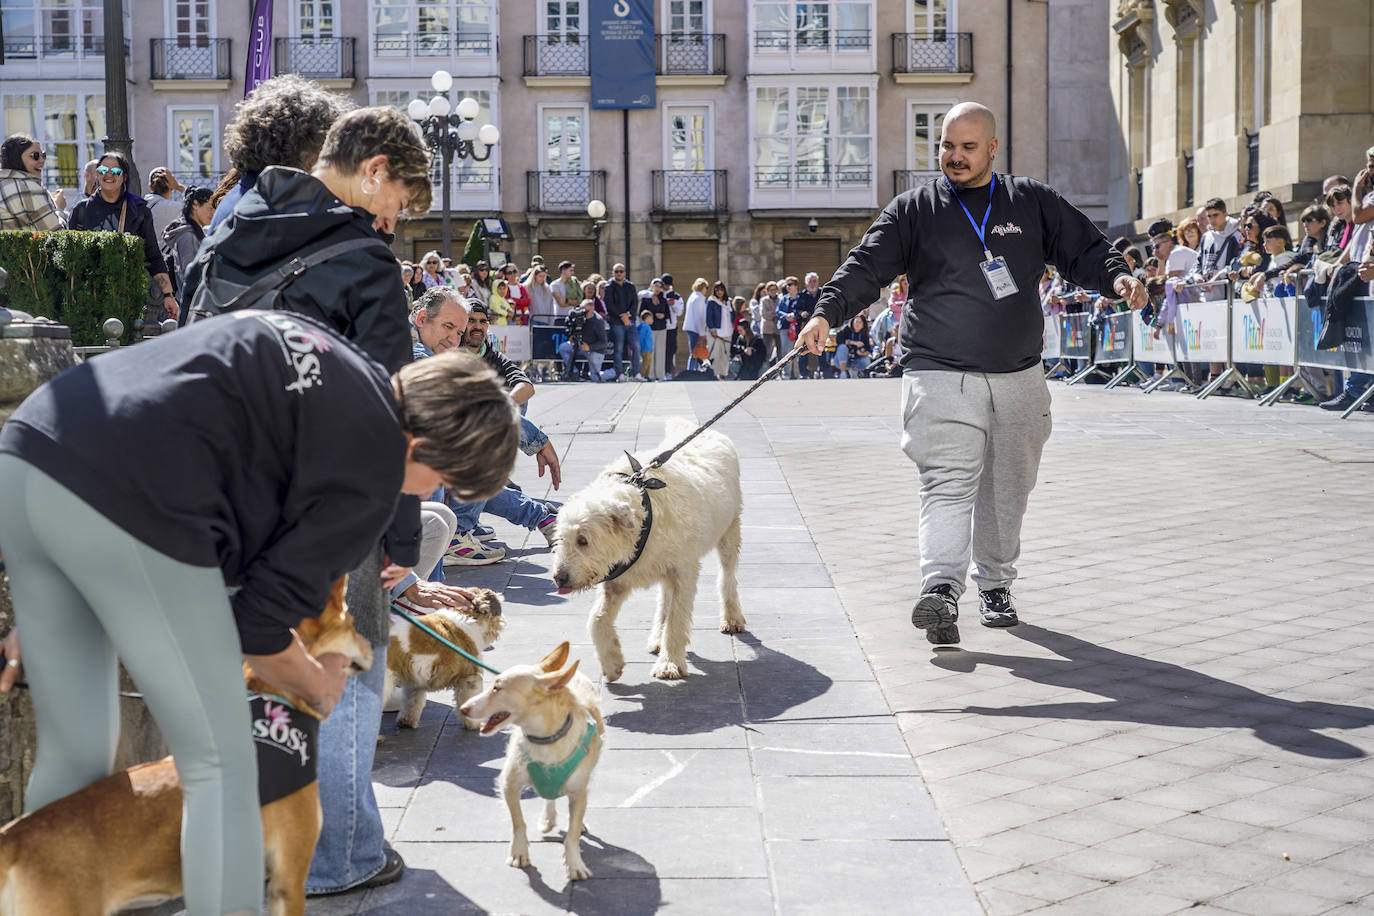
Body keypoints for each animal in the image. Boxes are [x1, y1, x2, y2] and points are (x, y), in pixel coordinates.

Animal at [384, 587, 508, 730]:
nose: (503, 622)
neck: (469, 618)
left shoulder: (416, 679)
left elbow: (413, 702)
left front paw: (407, 721)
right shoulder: (469, 676)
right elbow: (468, 699)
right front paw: (474, 724)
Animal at [458, 642, 604, 884]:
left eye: (497, 688)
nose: (463, 708)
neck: (545, 739)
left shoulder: (578, 791)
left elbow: (572, 833)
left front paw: (574, 863)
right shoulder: (509, 785)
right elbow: (518, 822)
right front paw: (519, 852)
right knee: (549, 796)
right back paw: (548, 818)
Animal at [549, 420, 747, 681]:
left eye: (583, 540)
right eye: (560, 539)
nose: (559, 578)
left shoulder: (684, 572)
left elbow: (676, 619)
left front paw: (669, 664)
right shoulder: (617, 580)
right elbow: (597, 619)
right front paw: (612, 663)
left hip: (730, 529)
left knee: (727, 574)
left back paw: (732, 617)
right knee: (665, 598)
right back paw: (656, 638)